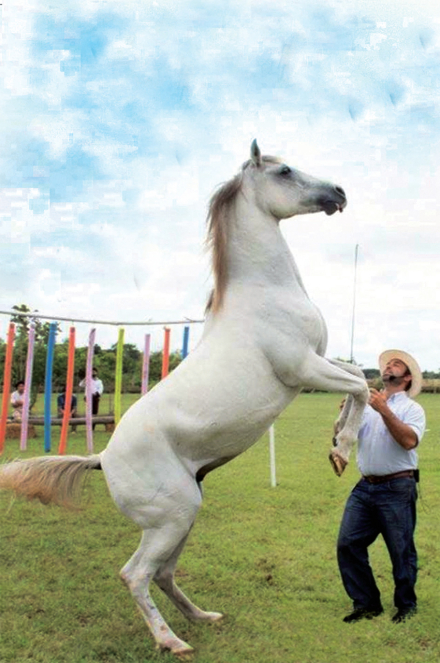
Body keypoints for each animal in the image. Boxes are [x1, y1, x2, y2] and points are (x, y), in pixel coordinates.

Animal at [0, 140, 369, 656]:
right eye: (284, 171)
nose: (338, 192)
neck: (266, 294)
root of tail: (102, 459)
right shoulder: (301, 369)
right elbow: (364, 386)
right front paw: (341, 451)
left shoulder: (317, 363)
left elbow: (359, 377)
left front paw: (336, 441)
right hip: (171, 518)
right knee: (136, 574)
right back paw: (172, 641)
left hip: (185, 512)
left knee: (164, 573)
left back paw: (203, 617)